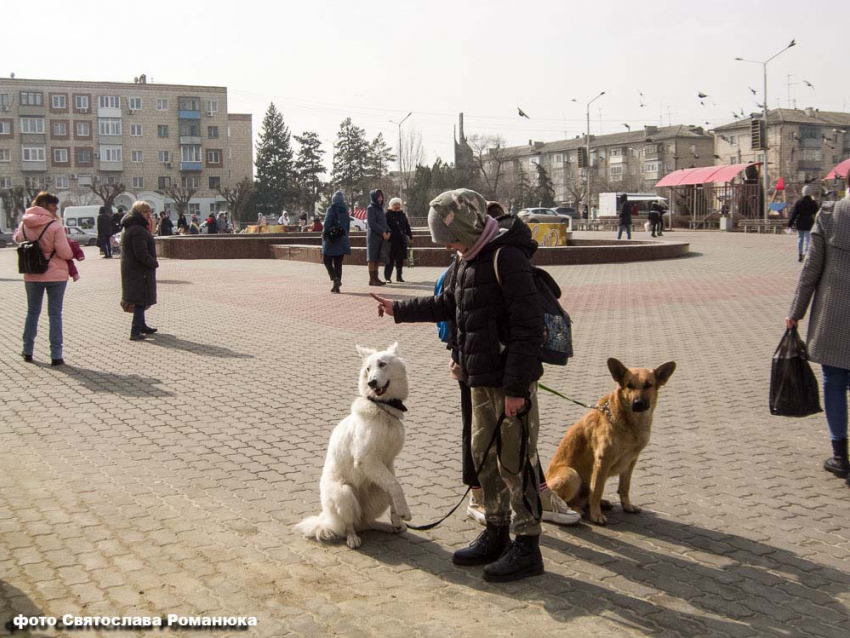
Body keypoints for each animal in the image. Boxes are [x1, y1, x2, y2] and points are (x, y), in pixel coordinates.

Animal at [294, 344, 410, 552]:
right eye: (368, 369)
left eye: (382, 364)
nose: (371, 383)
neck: (382, 408)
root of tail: (327, 520)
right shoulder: (366, 459)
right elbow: (395, 485)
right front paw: (405, 512)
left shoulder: (388, 463)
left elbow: (393, 487)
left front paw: (397, 518)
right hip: (344, 493)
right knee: (349, 525)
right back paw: (352, 538)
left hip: (375, 492)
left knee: (365, 522)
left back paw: (386, 527)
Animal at [544, 358, 676, 528]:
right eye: (629, 385)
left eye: (648, 385)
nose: (638, 403)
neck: (629, 424)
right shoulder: (603, 461)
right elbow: (597, 490)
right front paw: (596, 515)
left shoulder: (631, 461)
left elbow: (624, 487)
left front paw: (627, 505)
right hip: (571, 474)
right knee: (564, 499)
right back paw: (576, 509)